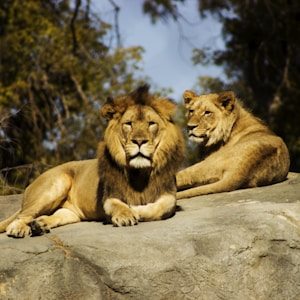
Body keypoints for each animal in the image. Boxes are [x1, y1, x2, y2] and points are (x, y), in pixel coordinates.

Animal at [0, 84, 185, 237]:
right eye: (129, 124)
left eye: (151, 123)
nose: (139, 141)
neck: (139, 171)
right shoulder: (109, 196)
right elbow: (118, 205)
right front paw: (126, 214)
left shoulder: (168, 194)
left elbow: (160, 208)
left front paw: (136, 210)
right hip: (56, 184)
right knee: (20, 217)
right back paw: (19, 228)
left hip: (70, 212)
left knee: (56, 215)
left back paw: (39, 225)